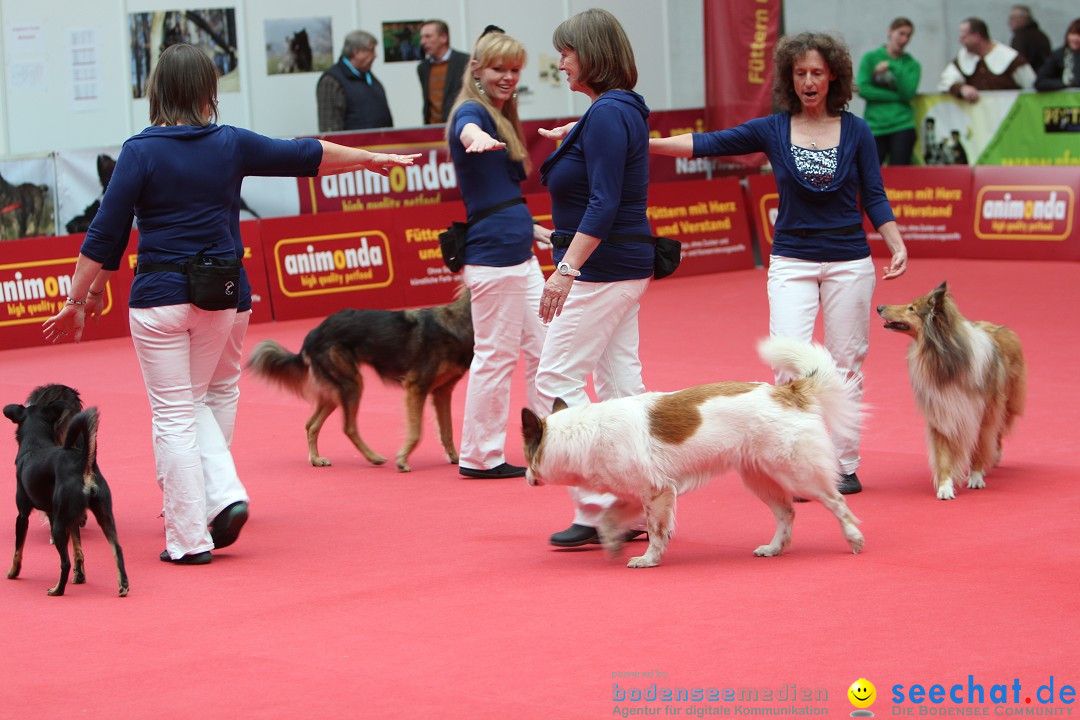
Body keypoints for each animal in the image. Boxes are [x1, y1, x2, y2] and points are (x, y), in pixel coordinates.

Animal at [4, 388, 129, 595]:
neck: (35, 443)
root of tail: (82, 463)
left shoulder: (22, 515)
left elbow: (17, 550)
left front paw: (13, 572)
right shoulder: (71, 517)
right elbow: (78, 550)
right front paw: (80, 577)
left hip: (58, 525)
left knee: (65, 562)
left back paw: (57, 590)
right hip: (103, 516)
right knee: (117, 549)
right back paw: (123, 585)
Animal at [252, 287, 477, 472]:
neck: (458, 324)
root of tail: (314, 333)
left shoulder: (442, 392)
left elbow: (447, 430)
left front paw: (456, 458)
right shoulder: (416, 387)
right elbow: (416, 433)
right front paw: (403, 459)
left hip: (336, 390)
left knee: (311, 424)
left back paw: (316, 459)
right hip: (352, 384)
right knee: (348, 427)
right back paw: (373, 457)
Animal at [518, 338, 864, 569]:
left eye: (526, 456)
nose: (526, 478)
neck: (584, 431)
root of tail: (786, 391)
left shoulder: (657, 492)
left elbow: (656, 530)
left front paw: (649, 558)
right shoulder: (638, 494)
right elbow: (607, 519)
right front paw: (614, 543)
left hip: (797, 473)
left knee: (836, 502)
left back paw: (853, 537)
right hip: (760, 478)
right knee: (787, 513)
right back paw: (775, 547)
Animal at [872, 282, 1023, 500]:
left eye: (911, 308)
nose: (879, 307)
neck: (945, 360)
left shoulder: (982, 412)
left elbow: (980, 444)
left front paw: (976, 477)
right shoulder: (941, 411)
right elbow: (943, 456)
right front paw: (945, 487)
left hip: (1005, 403)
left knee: (997, 432)